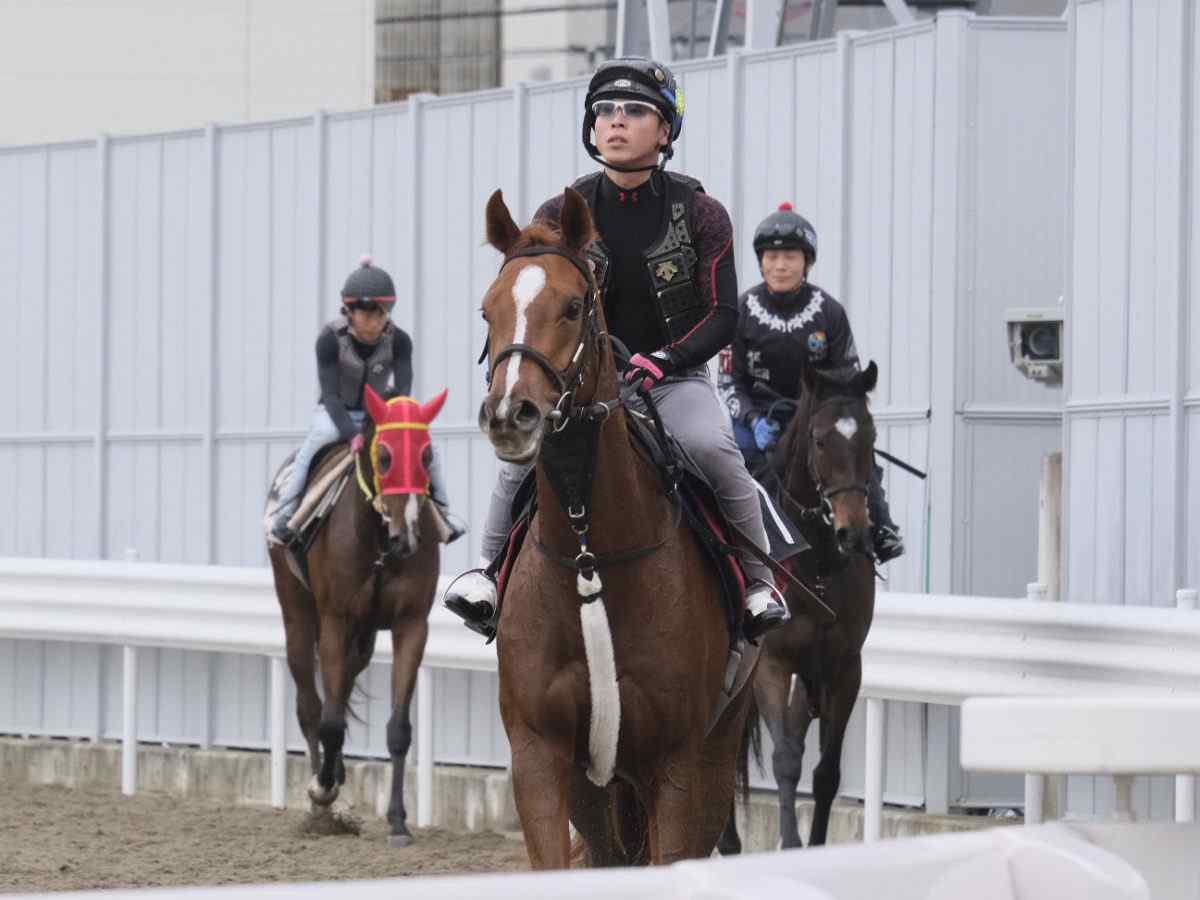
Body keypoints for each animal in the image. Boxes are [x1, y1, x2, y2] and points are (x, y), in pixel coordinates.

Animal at [265, 386, 448, 844]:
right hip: (297, 615)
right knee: (310, 704)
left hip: (363, 637)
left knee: (344, 683)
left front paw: (398, 820)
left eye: (427, 456)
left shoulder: (411, 624)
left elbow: (399, 728)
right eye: (383, 456)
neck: (380, 541)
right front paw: (322, 790)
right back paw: (321, 790)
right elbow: (328, 720)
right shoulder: (336, 619)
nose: (408, 536)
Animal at [475, 187, 748, 868]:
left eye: (574, 306)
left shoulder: (677, 765)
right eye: (488, 311)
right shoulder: (542, 756)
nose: (510, 414)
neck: (589, 552)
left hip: (716, 751)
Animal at [720, 362, 883, 854]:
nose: (854, 532)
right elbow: (787, 759)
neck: (817, 565)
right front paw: (790, 843)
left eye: (869, 436)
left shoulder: (843, 668)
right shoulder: (772, 665)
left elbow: (826, 772)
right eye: (819, 439)